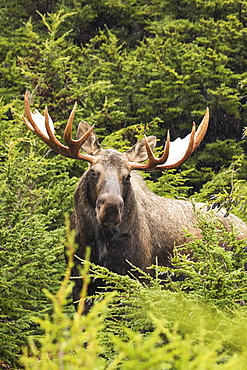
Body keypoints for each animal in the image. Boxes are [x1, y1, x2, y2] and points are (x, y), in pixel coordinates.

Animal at [22, 91, 247, 310]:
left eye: (127, 176)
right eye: (93, 171)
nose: (111, 208)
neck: (99, 246)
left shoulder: (138, 276)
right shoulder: (80, 279)